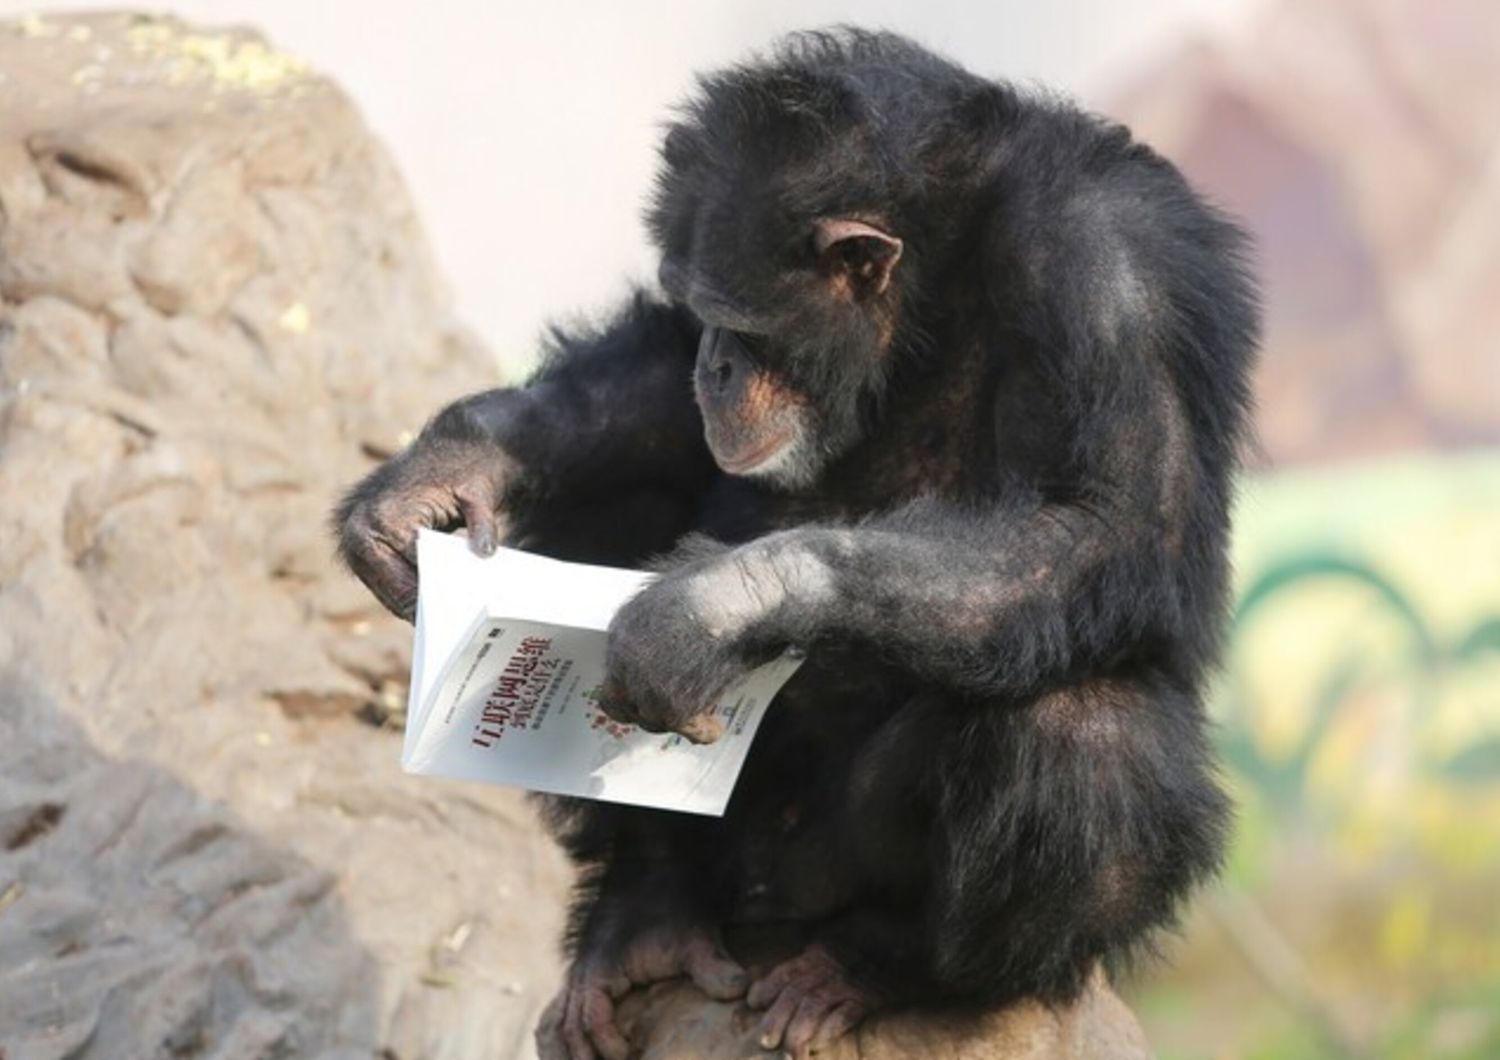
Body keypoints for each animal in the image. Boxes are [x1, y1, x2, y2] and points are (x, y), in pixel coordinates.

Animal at [337, 24, 1254, 1060]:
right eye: (702, 312)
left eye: (744, 323)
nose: (715, 363)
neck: (929, 284)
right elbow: (652, 373)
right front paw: (451, 466)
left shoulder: (1109, 271)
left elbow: (1100, 518)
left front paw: (706, 612)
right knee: (622, 493)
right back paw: (645, 911)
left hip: (829, 882)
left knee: (1081, 730)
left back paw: (880, 970)